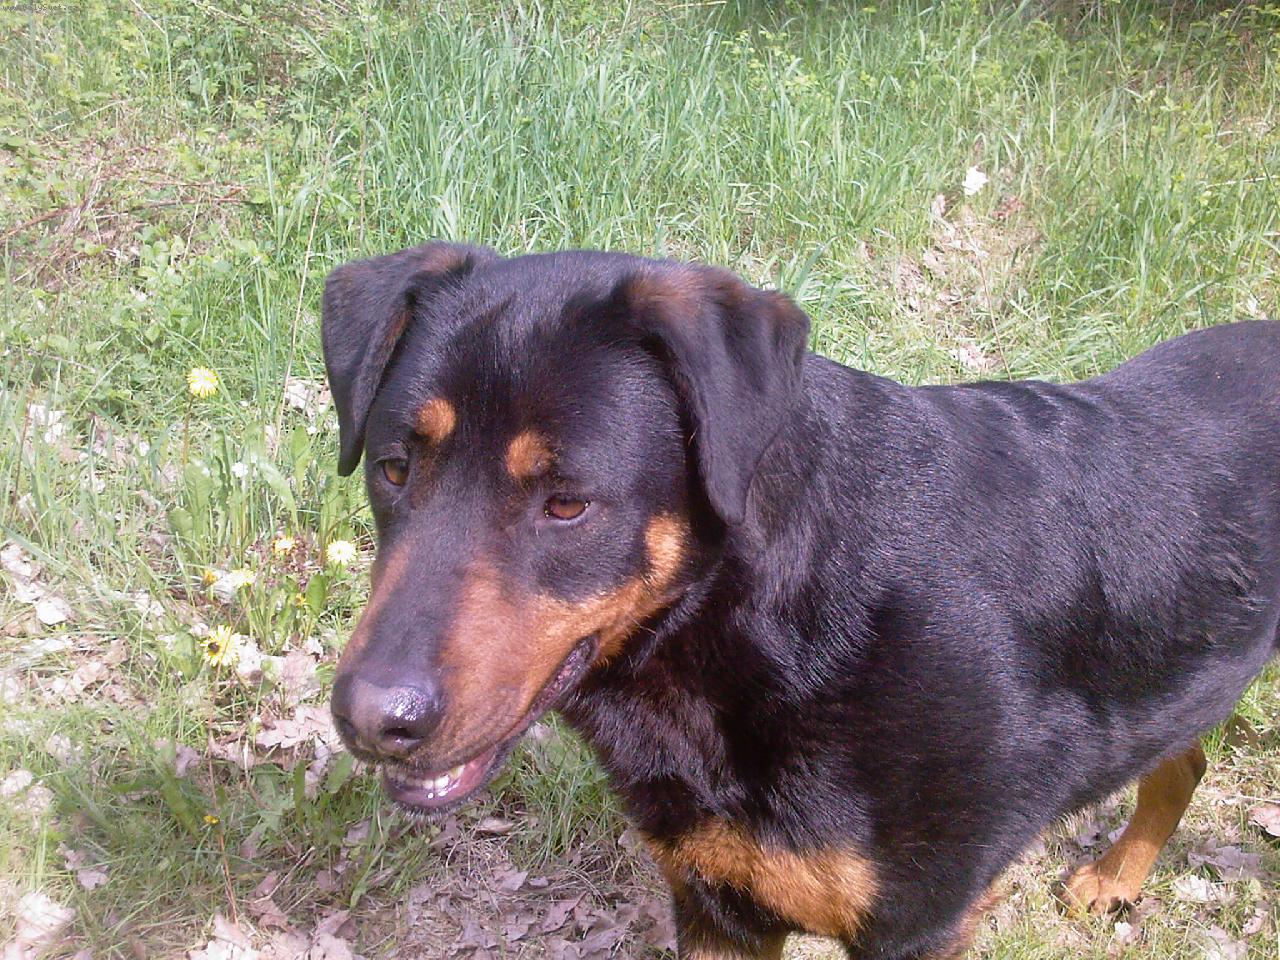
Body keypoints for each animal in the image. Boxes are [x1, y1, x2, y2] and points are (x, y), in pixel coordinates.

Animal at [322, 242, 1279, 960]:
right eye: (393, 469)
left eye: (566, 504)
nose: (371, 719)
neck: (765, 623)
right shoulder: (716, 904)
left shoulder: (917, 926)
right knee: (1184, 761)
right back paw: (1116, 880)